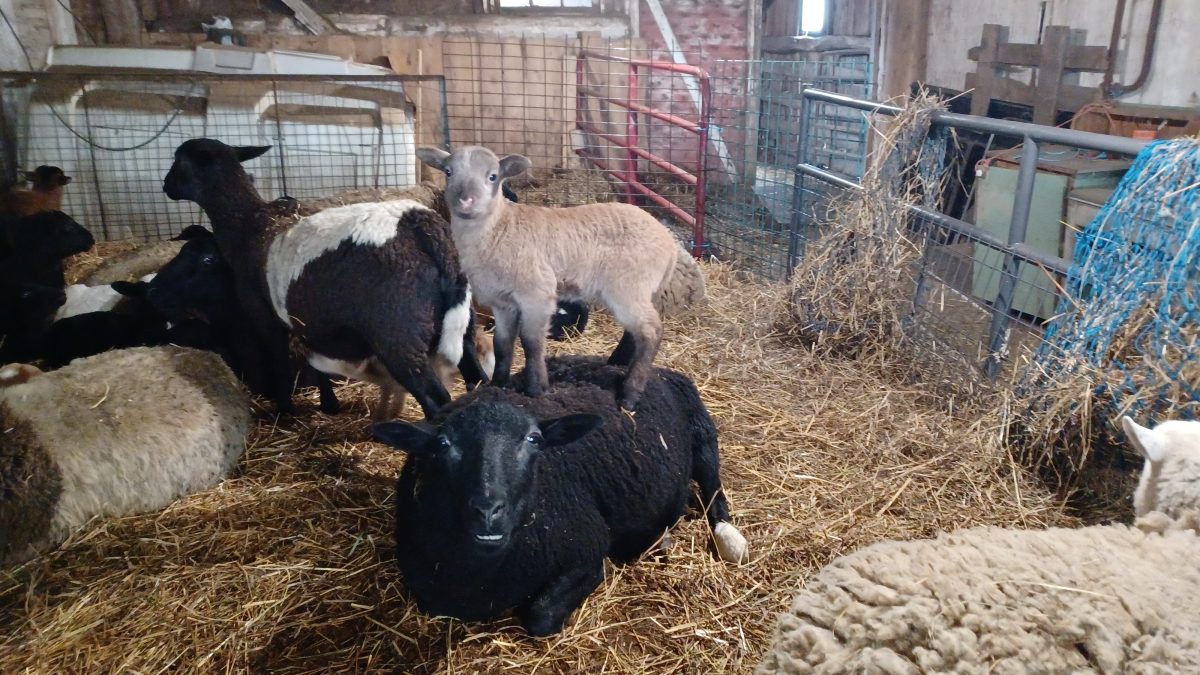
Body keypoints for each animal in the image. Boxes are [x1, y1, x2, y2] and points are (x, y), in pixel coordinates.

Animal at [162, 138, 487, 417]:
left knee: (436, 399)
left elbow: (280, 363)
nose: (165, 186)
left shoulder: (265, 317)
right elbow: (315, 361)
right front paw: (329, 404)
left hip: (398, 335)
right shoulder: (311, 321)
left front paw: (285, 410)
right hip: (462, 324)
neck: (246, 224)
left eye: (178, 161)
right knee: (480, 378)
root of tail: (422, 225)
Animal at [370, 355, 749, 636]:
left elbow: (541, 616)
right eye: (442, 444)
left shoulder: (587, 549)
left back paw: (723, 535)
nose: (488, 511)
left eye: (535, 440)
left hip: (703, 432)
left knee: (715, 491)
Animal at [416, 145, 680, 410]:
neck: (499, 228)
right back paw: (618, 367)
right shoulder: (502, 302)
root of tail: (668, 243)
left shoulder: (536, 294)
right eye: (448, 172)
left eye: (492, 176)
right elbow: (502, 344)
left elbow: (532, 342)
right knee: (635, 332)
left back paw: (629, 394)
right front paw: (498, 385)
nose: (465, 200)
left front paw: (536, 389)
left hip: (628, 286)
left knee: (651, 331)